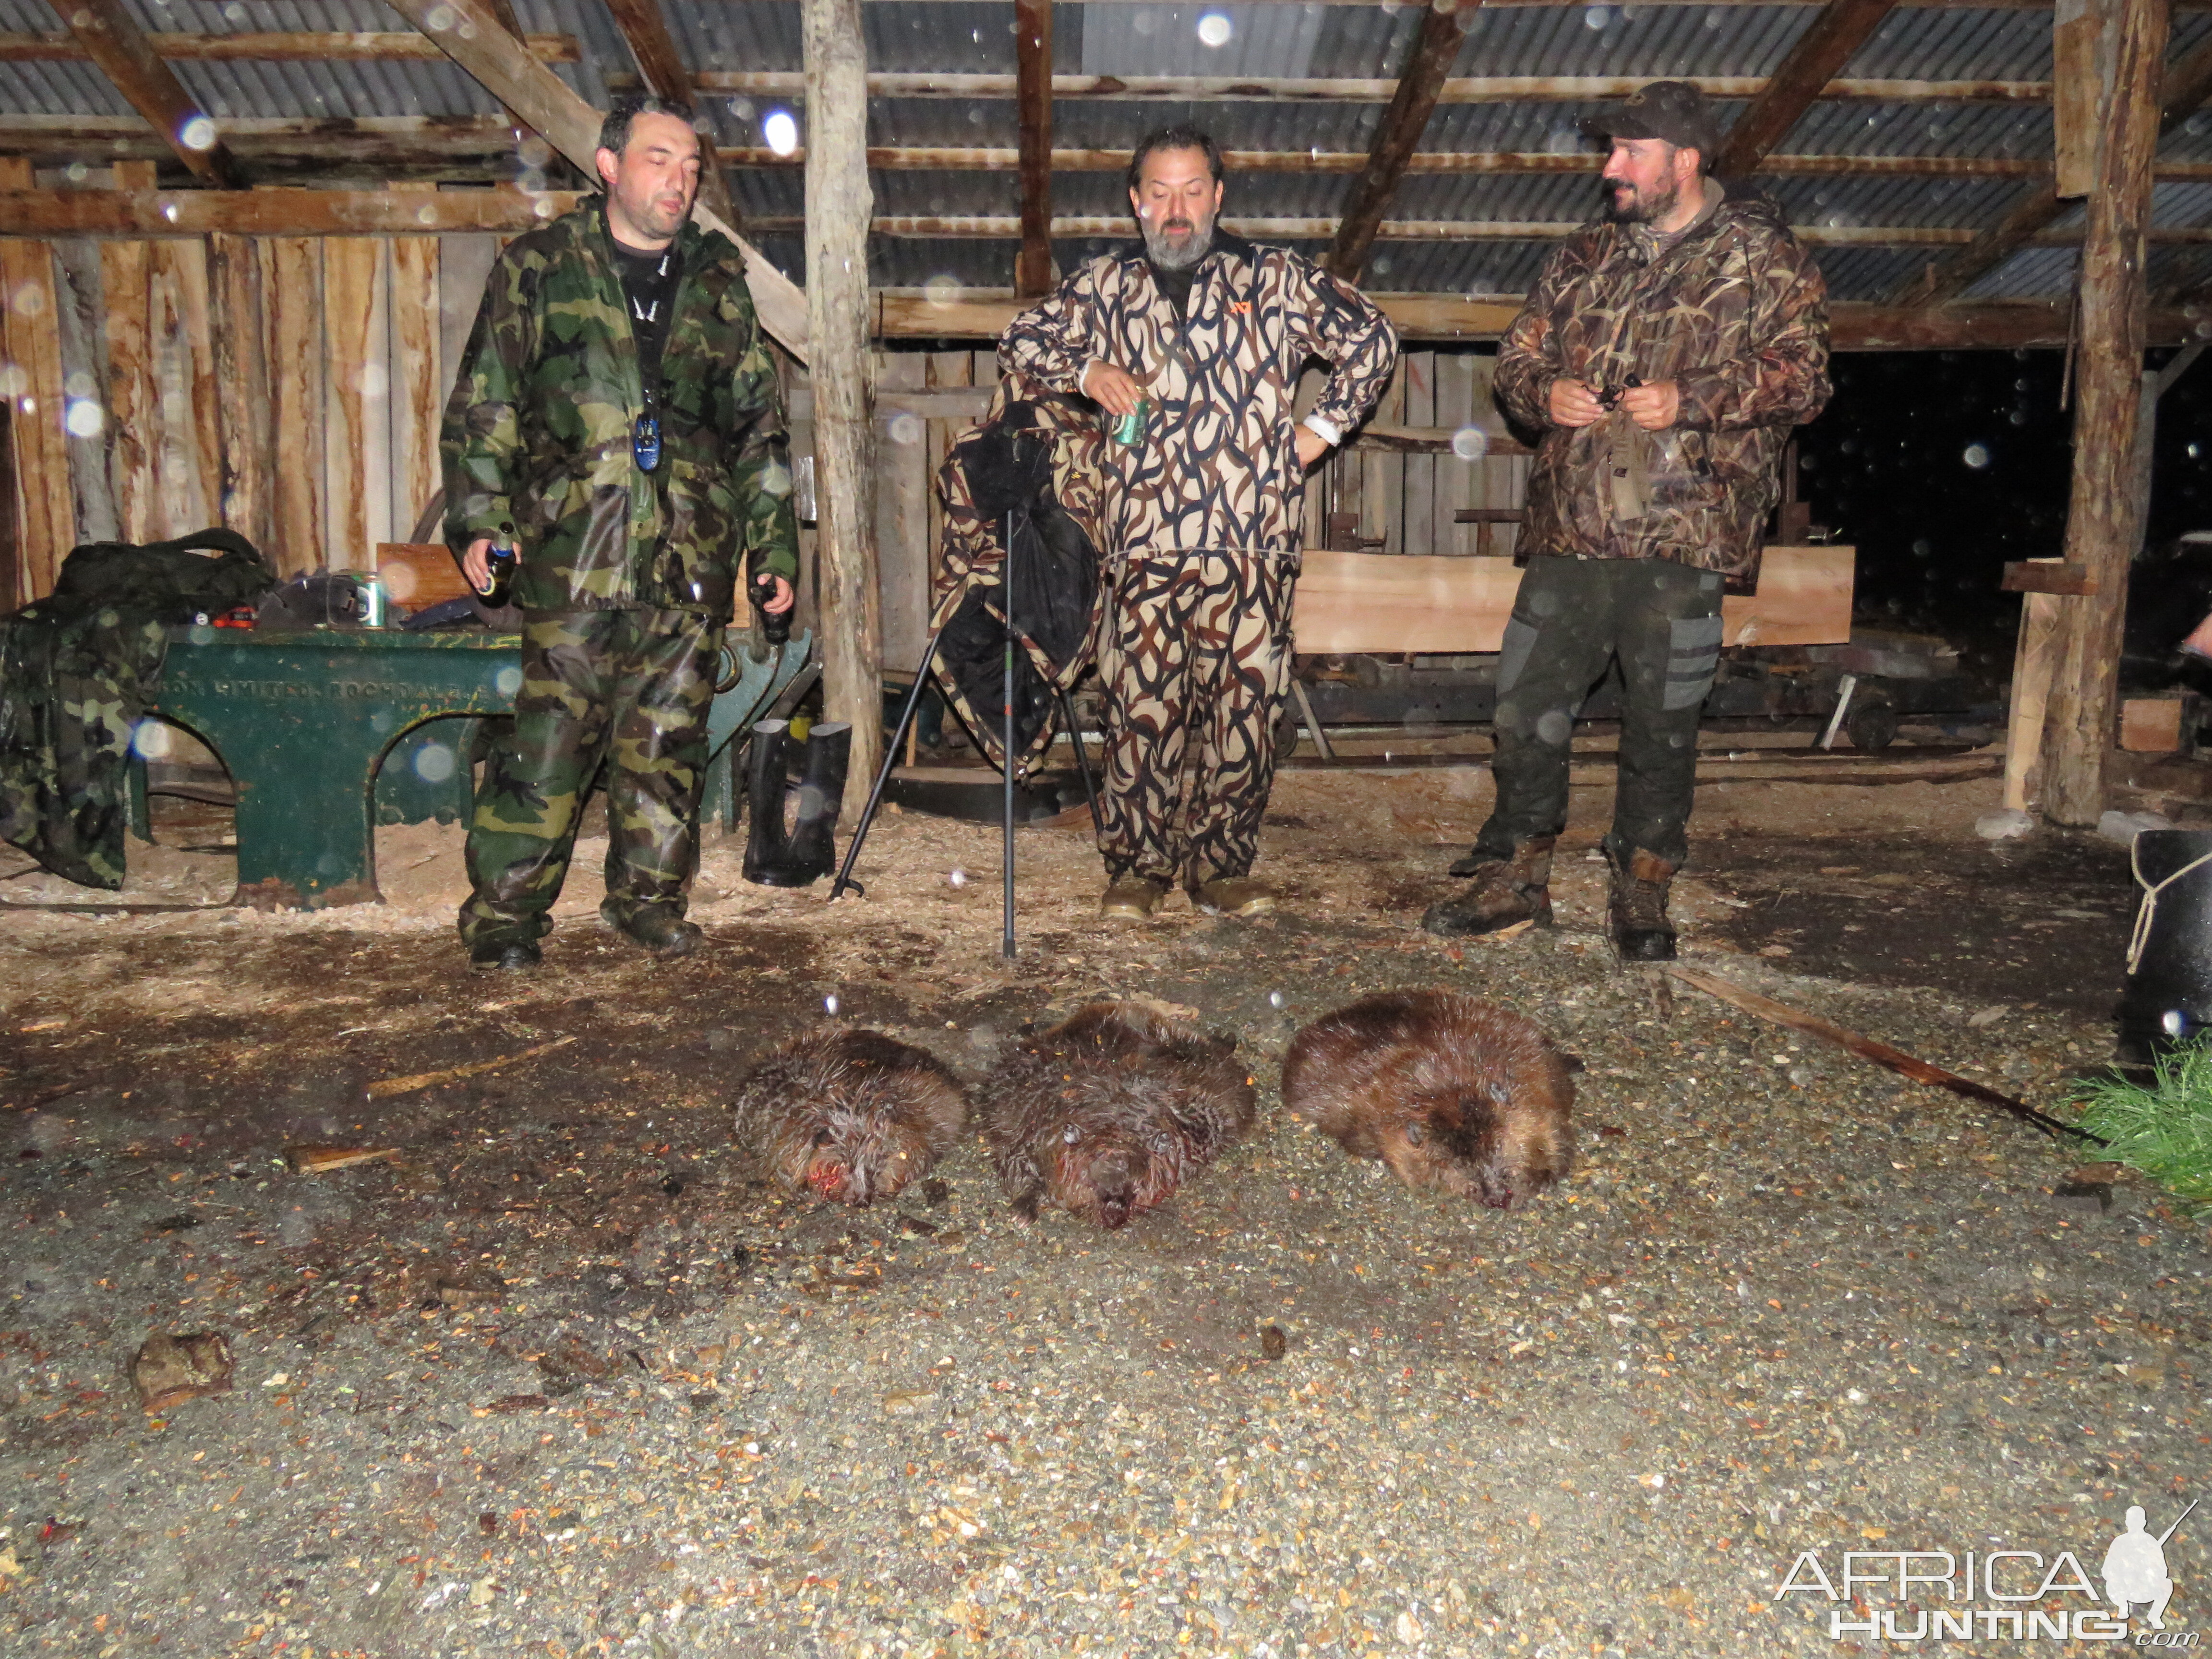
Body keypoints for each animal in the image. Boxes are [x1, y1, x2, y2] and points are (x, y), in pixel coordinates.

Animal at [977, 1009, 1256, 1230]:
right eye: (1091, 1182)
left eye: (1137, 1185)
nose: (1114, 1205)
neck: (1114, 1119)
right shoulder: (1034, 1126)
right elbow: (1016, 1163)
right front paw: (1022, 1211)